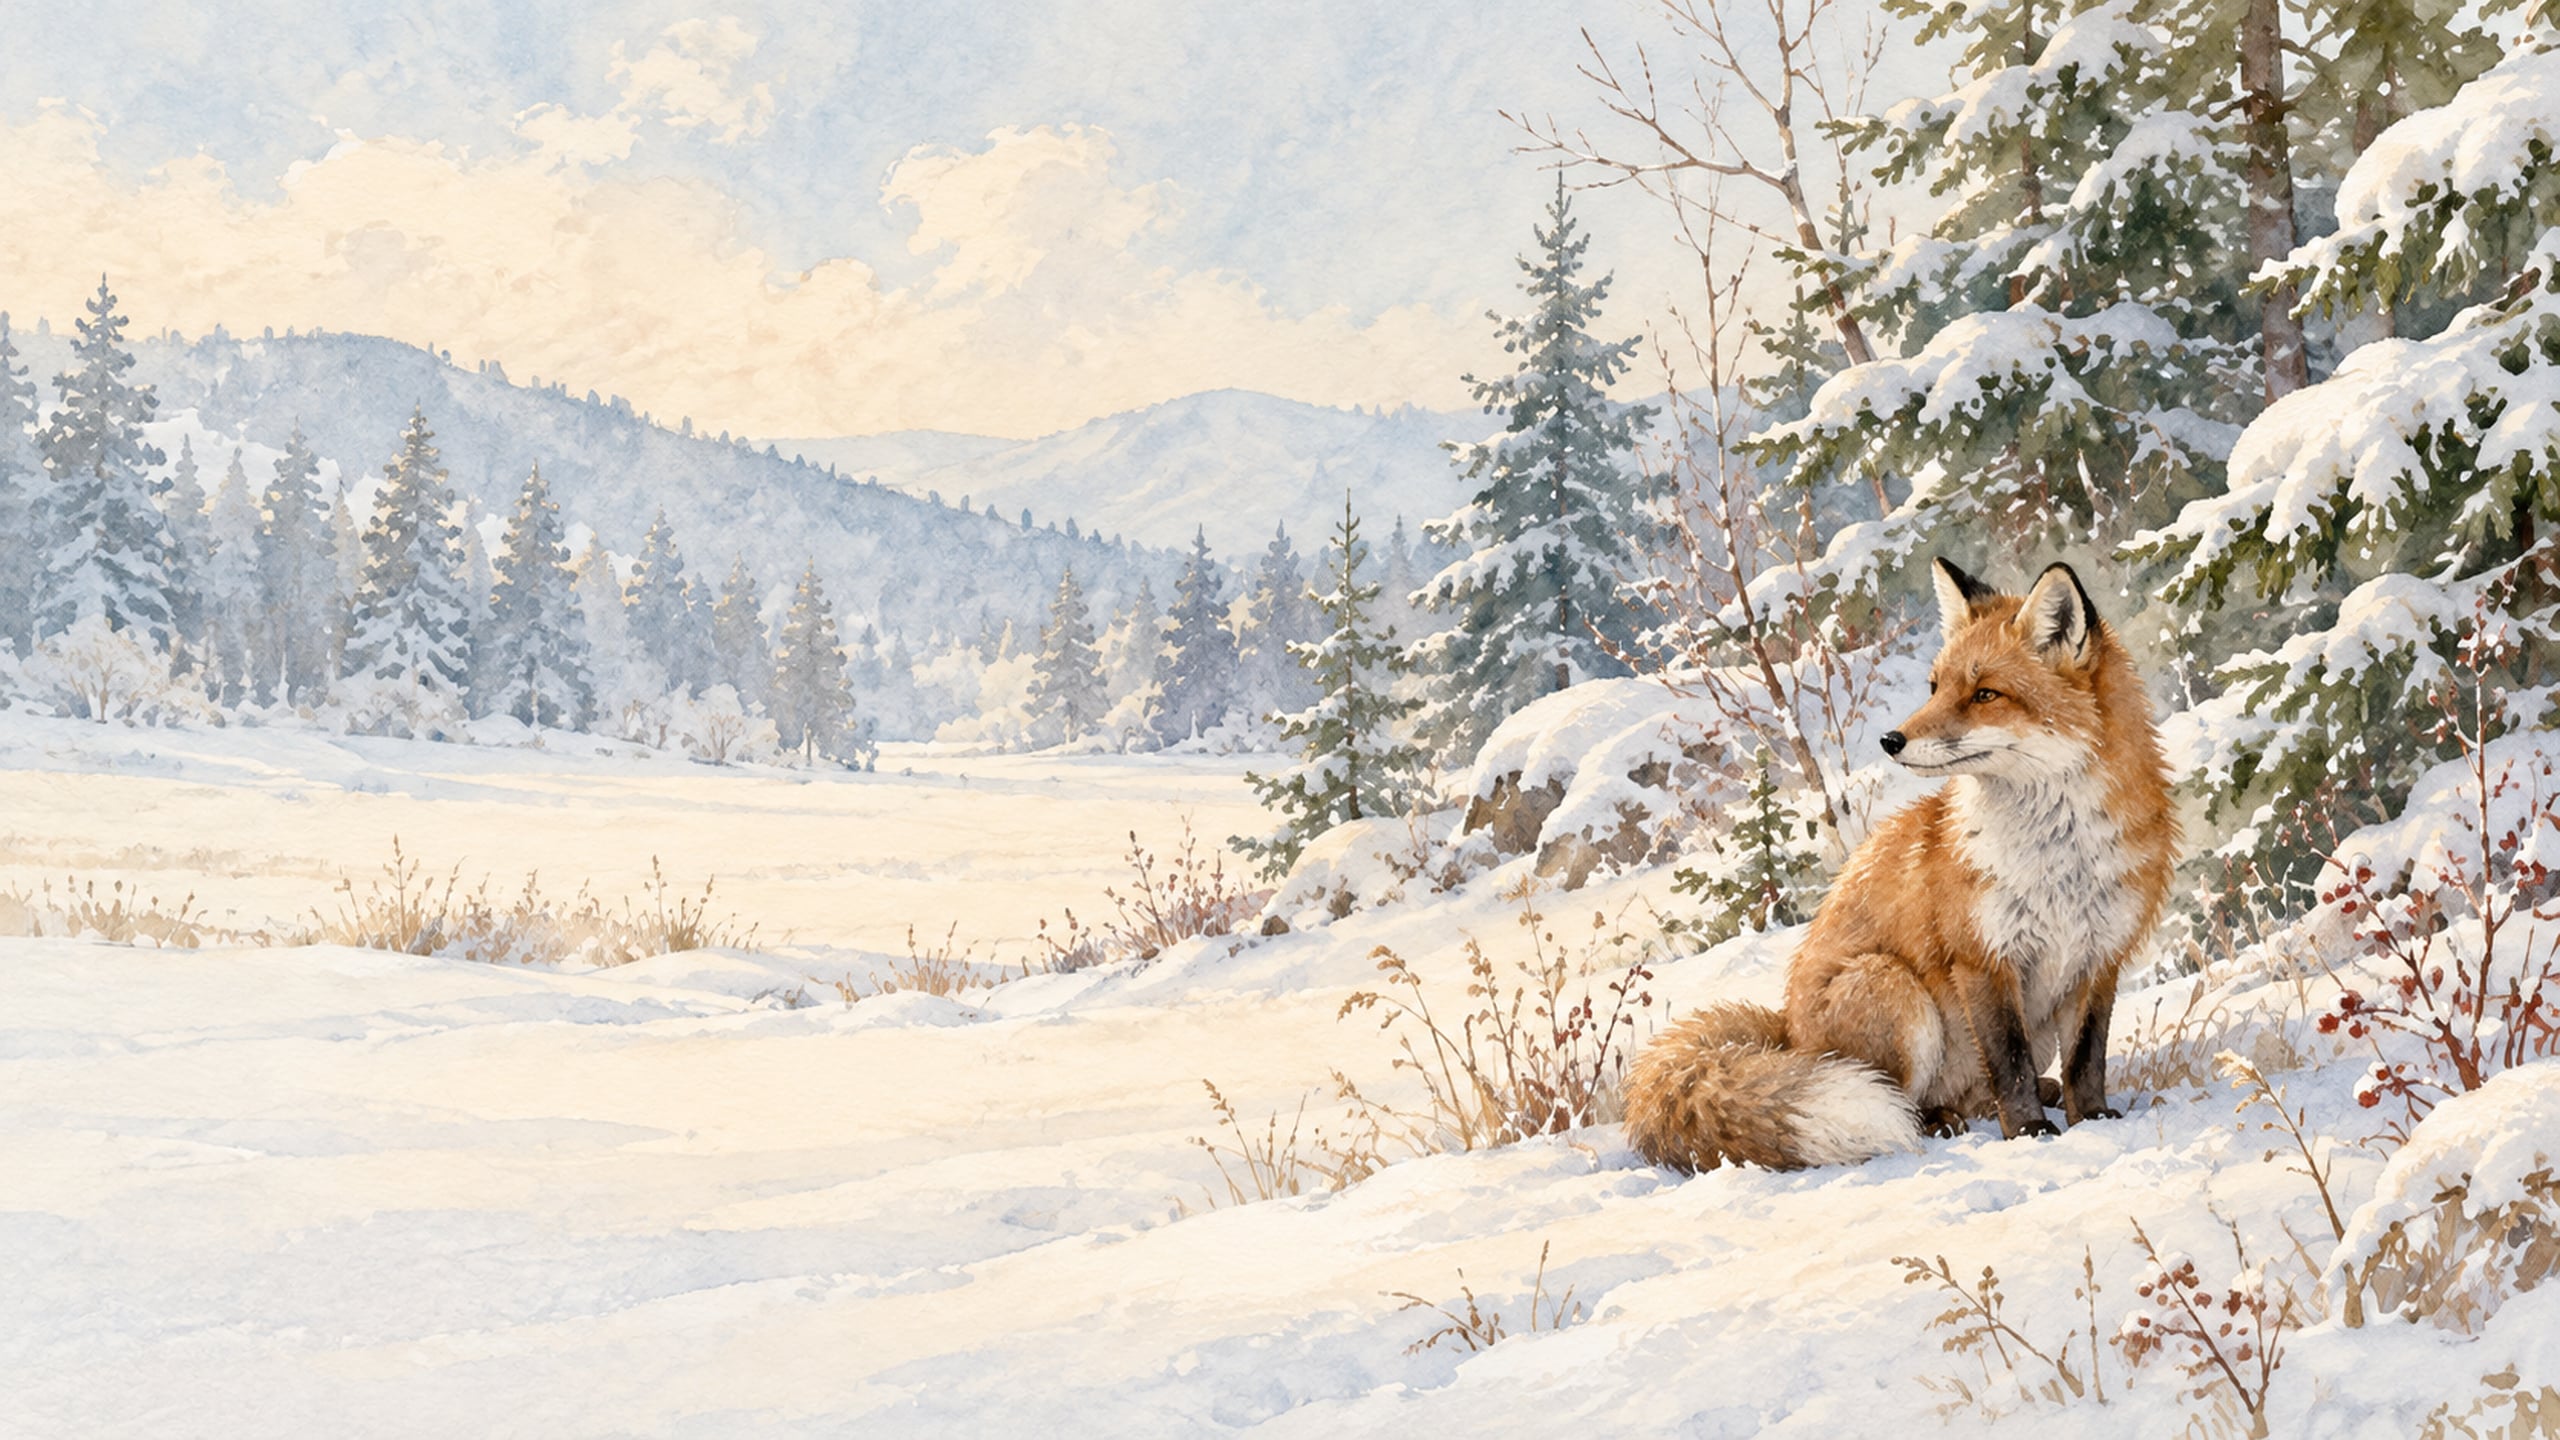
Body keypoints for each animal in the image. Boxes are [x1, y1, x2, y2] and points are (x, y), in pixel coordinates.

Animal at [1622, 557, 2178, 1171]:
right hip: (1894, 987)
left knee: (1986, 1089)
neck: (2059, 858)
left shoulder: (2098, 958)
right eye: (1935, 687)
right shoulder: (1981, 958)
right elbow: (2009, 1066)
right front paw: (2030, 1132)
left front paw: (2093, 1119)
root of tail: (1787, 1032)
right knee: (1901, 1097)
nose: (1892, 740)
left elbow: (2085, 1059)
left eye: (1985, 693)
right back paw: (1935, 1122)